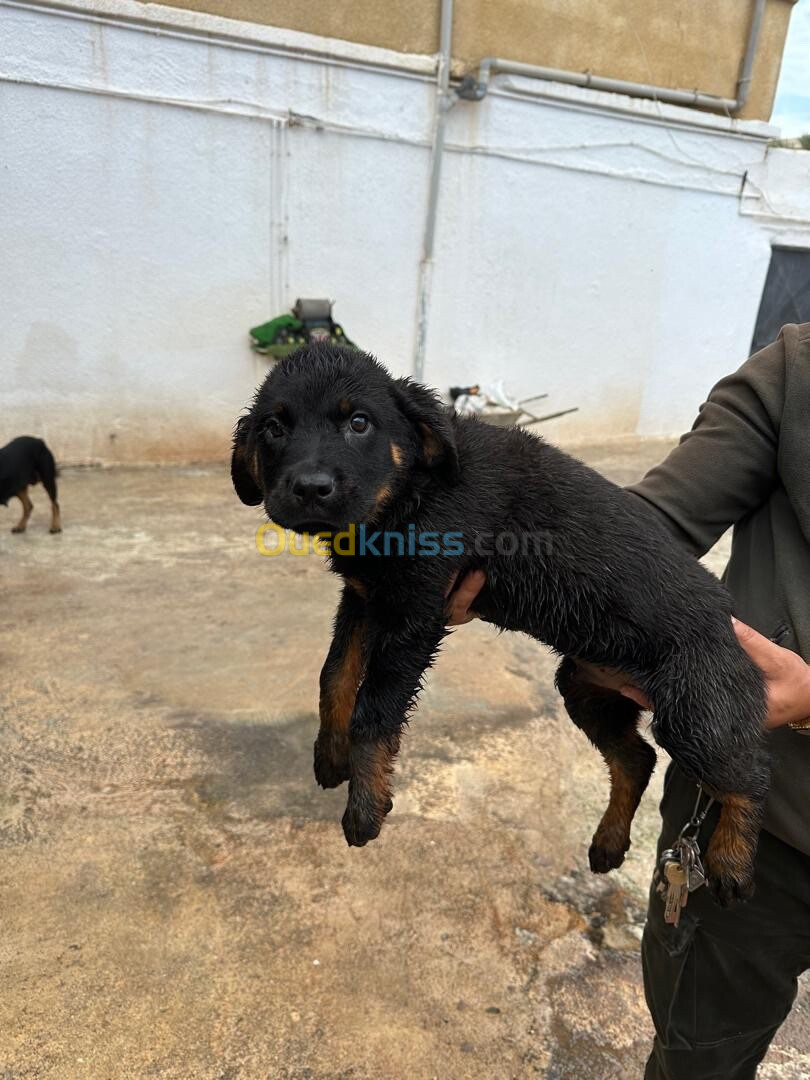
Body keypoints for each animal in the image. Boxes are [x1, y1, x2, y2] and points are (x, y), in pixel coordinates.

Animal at [233, 345, 768, 902]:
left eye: (359, 422)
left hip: (694, 712)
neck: (412, 494)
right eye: (273, 428)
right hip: (586, 687)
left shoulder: (414, 614)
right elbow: (334, 676)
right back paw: (609, 841)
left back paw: (731, 861)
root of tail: (727, 621)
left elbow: (373, 713)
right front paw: (330, 756)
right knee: (637, 758)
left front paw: (366, 808)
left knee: (748, 777)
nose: (309, 489)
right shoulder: (364, 600)